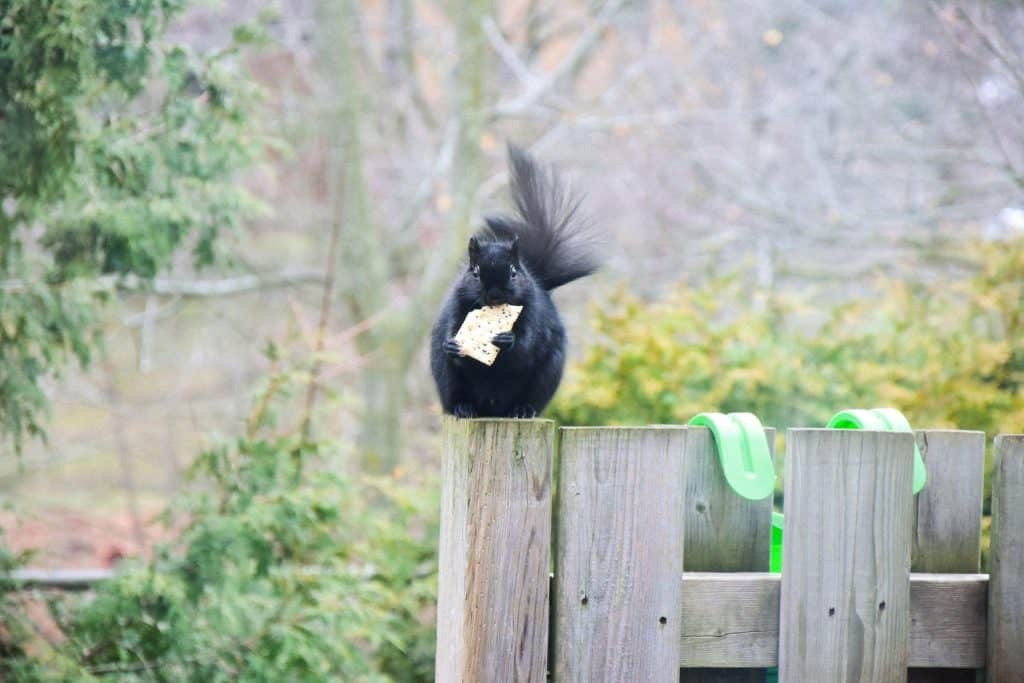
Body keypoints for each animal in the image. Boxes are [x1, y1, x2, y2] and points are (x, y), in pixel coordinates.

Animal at [430, 145, 601, 418]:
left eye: (513, 272)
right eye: (475, 273)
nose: (495, 294)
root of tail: (492, 408)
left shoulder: (534, 313)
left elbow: (527, 345)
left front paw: (506, 340)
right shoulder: (457, 304)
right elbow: (453, 329)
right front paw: (453, 344)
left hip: (546, 375)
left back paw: (522, 410)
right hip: (447, 378)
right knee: (454, 394)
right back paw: (463, 407)